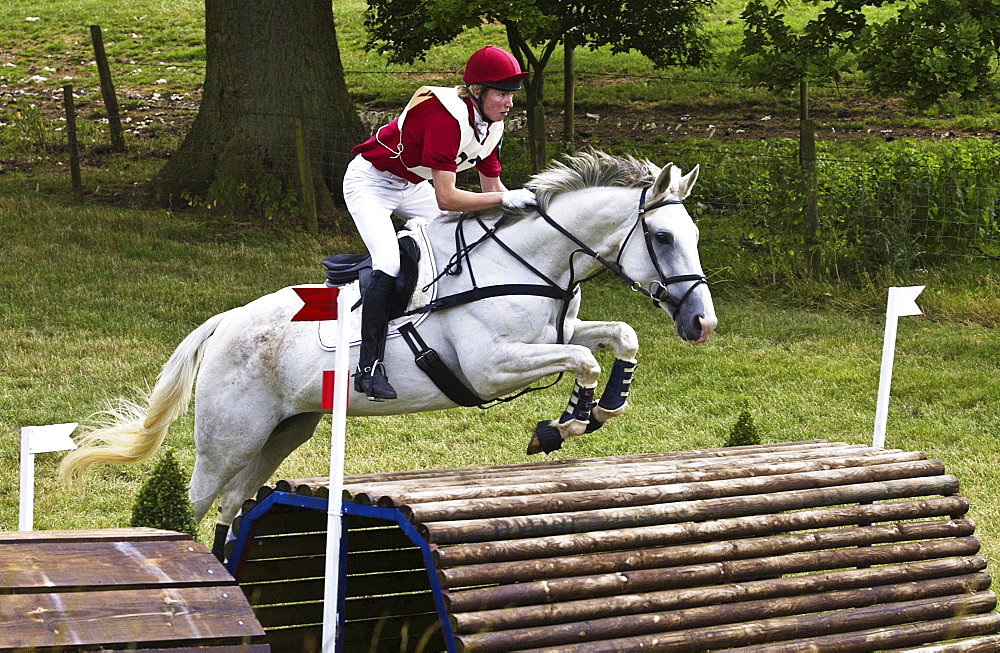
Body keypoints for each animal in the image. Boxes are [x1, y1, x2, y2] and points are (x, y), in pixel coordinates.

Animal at [58, 150, 716, 556]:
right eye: (662, 237)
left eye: (694, 236)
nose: (702, 323)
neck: (531, 262)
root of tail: (224, 324)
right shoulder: (489, 367)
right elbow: (582, 361)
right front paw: (562, 425)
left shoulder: (560, 331)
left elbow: (619, 337)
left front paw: (599, 409)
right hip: (229, 437)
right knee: (192, 504)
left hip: (282, 432)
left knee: (232, 504)